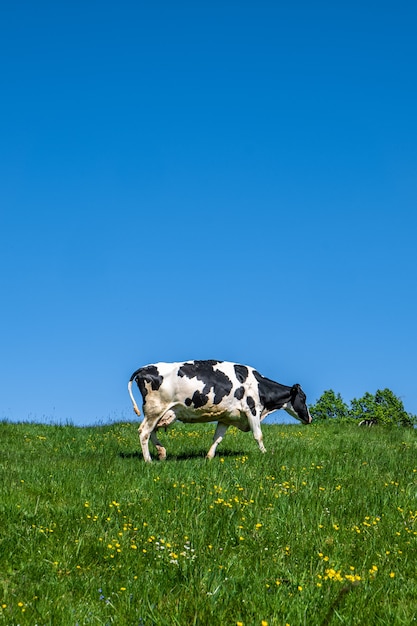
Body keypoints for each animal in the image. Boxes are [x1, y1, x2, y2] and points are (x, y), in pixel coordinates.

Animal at [128, 358, 310, 460]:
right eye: (303, 398)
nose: (310, 418)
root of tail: (144, 368)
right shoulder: (252, 409)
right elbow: (258, 435)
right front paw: (266, 454)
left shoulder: (226, 417)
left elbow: (217, 438)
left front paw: (209, 457)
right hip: (155, 409)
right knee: (144, 432)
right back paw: (148, 460)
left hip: (161, 412)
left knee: (151, 431)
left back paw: (162, 452)